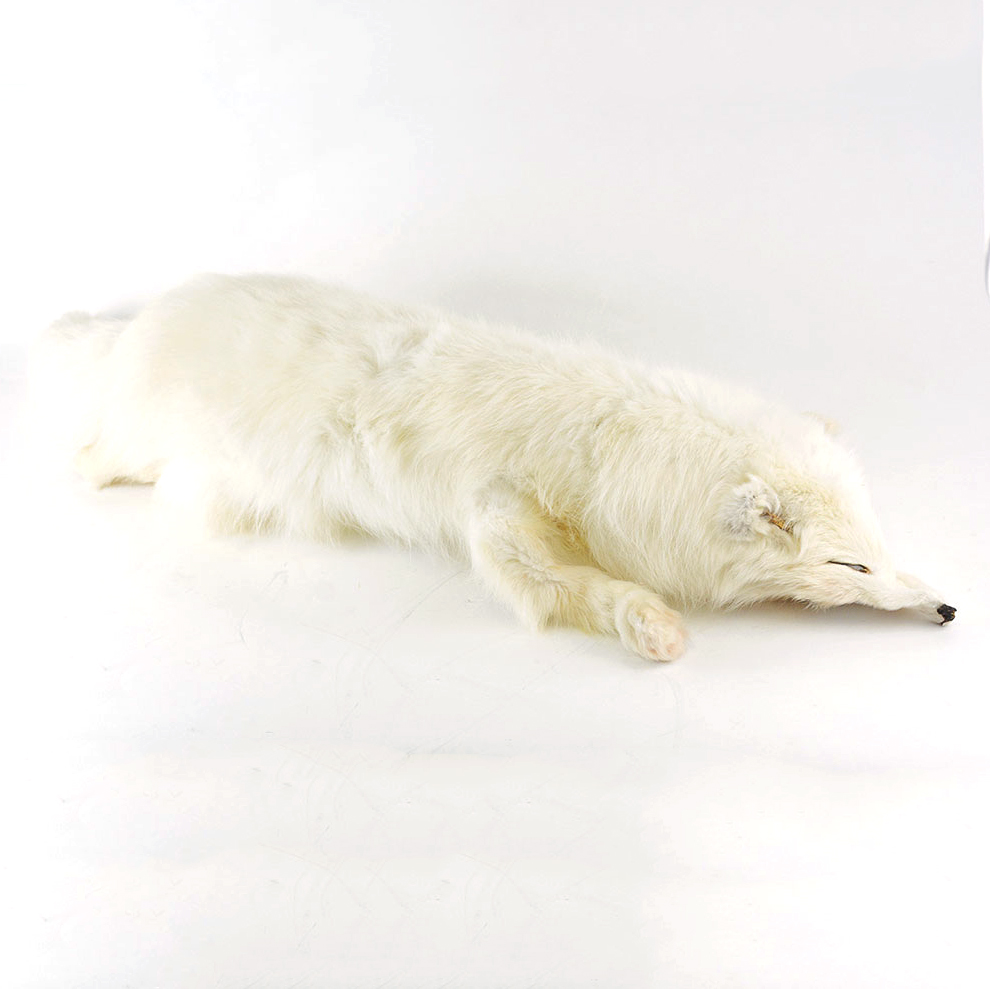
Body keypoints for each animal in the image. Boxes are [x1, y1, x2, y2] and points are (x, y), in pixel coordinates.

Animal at [31, 273, 954, 661]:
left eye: (879, 548)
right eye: (849, 565)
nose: (949, 608)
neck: (611, 438)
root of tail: (144, 317)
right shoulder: (495, 508)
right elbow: (544, 584)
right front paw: (651, 625)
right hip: (142, 437)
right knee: (89, 457)